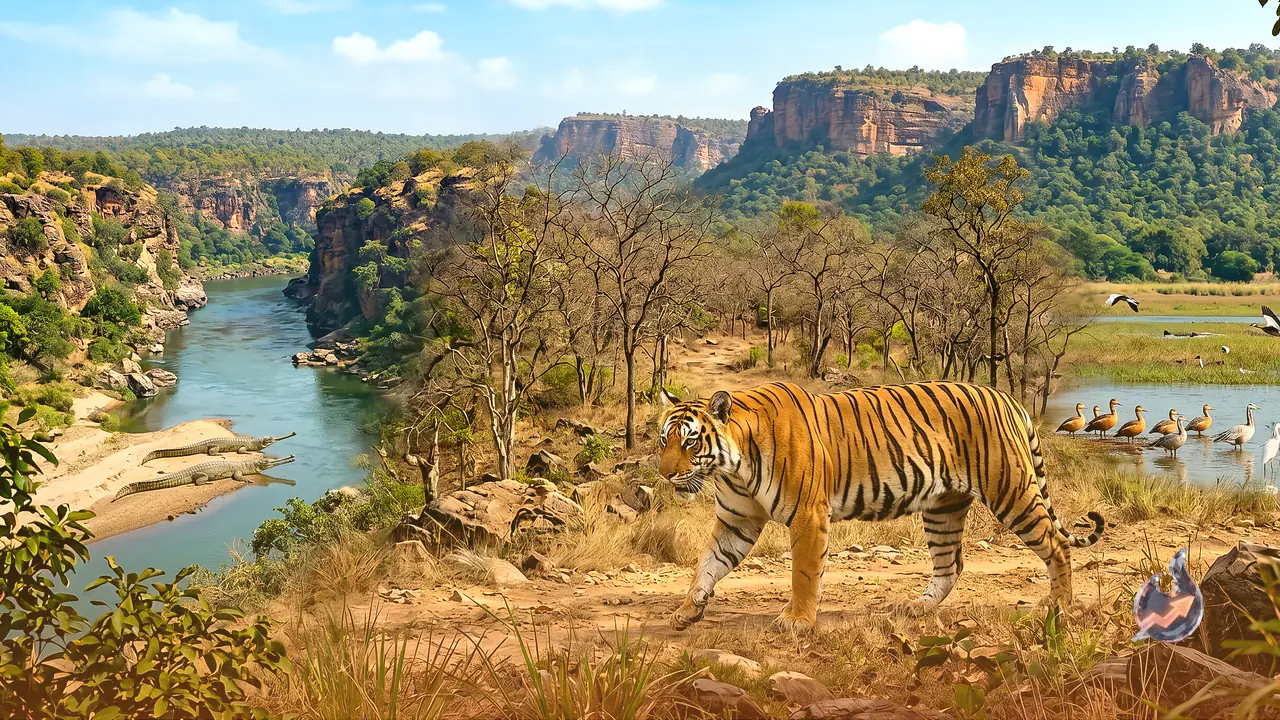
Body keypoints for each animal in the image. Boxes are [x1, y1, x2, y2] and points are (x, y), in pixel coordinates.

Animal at [657, 380, 1105, 632]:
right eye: (665, 439)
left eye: (691, 441)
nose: (664, 475)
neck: (734, 467)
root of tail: (1007, 397)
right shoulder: (737, 520)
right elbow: (708, 564)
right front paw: (687, 610)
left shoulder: (808, 516)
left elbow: (803, 573)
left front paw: (797, 621)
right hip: (943, 508)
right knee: (951, 564)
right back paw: (915, 607)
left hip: (1011, 491)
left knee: (1055, 544)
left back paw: (1059, 605)